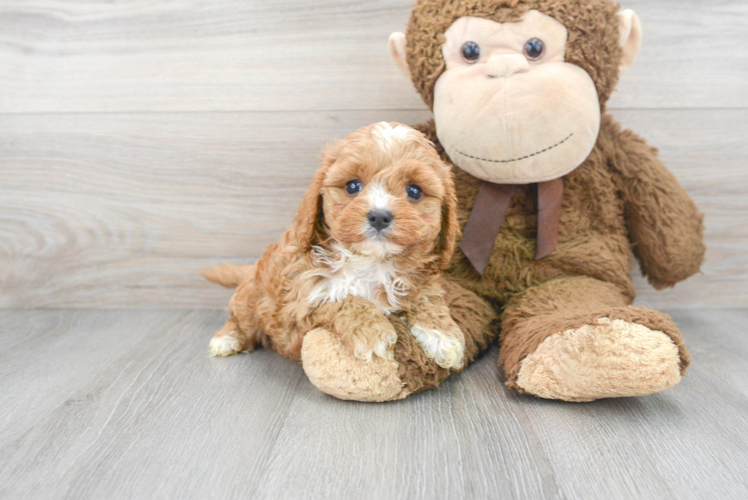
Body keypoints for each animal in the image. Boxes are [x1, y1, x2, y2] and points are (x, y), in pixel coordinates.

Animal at [202, 121, 464, 370]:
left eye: (414, 191)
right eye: (352, 186)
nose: (379, 216)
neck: (371, 262)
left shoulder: (419, 280)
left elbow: (427, 298)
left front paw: (443, 335)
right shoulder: (298, 305)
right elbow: (340, 298)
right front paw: (372, 333)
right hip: (249, 299)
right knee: (238, 317)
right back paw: (227, 338)